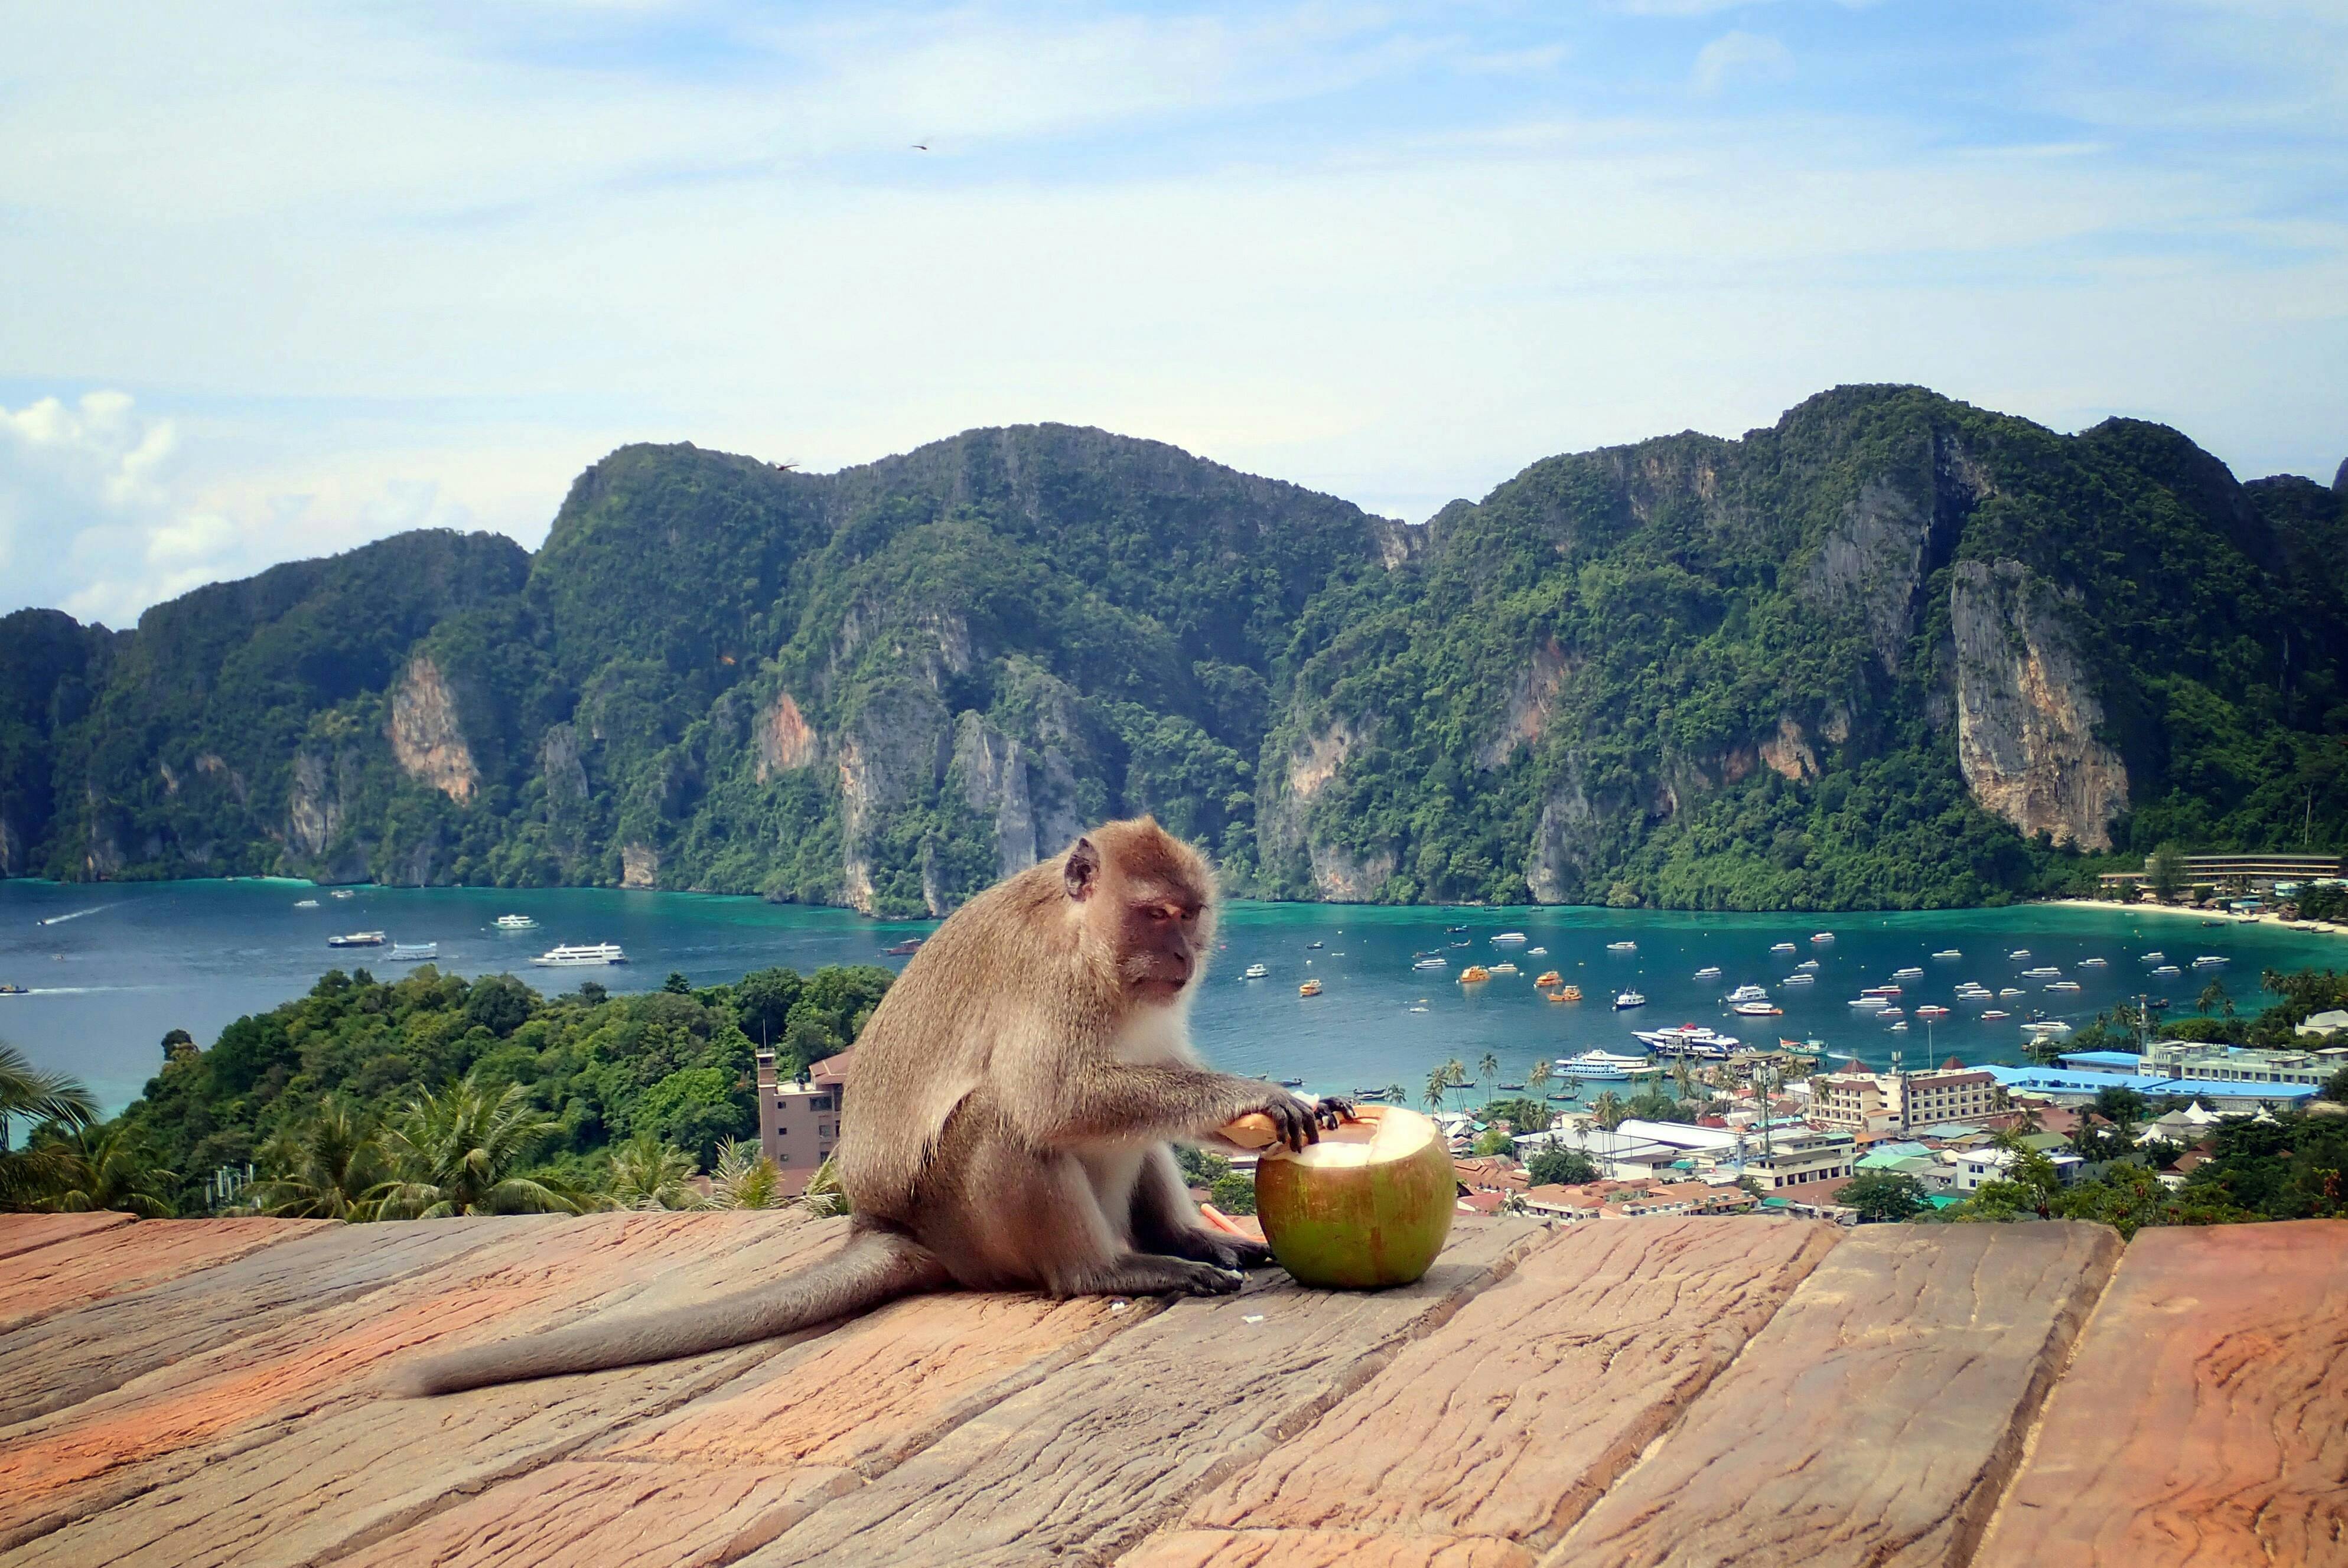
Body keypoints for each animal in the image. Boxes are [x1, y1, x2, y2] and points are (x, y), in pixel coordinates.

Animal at [392, 822, 1333, 1399]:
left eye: (1191, 914)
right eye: (1153, 912)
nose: (1181, 957)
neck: (1091, 948)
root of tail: (885, 1226)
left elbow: (1150, 1080)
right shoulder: (1051, 978)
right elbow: (1054, 1097)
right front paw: (1253, 1096)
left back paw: (1181, 1238)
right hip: (968, 1224)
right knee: (1006, 1116)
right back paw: (1107, 1269)